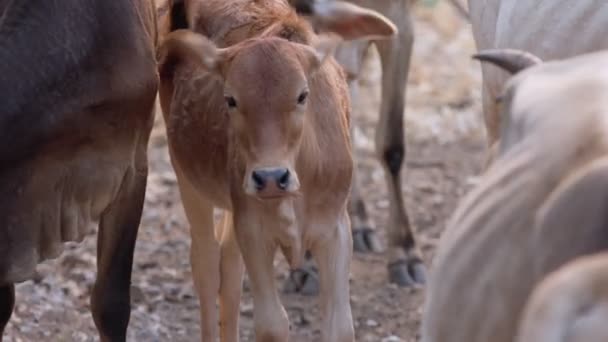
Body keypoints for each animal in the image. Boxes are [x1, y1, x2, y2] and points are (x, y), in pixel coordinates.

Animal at [156, 0, 394, 340]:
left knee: (229, 268)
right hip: (187, 177)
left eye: (302, 95)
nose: (270, 178)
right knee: (206, 264)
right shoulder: (253, 231)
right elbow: (272, 322)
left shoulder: (335, 230)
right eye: (230, 99)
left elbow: (338, 324)